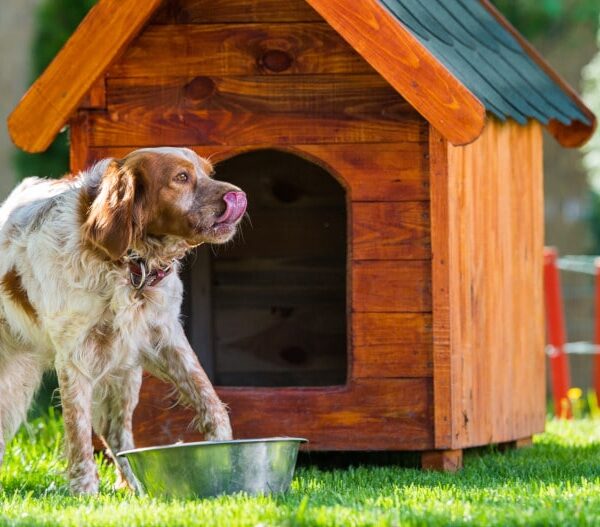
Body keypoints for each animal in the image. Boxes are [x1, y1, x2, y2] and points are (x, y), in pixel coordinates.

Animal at [0, 147, 246, 496]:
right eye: (181, 177)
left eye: (209, 173)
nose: (240, 195)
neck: (131, 265)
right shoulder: (75, 358)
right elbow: (79, 435)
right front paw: (84, 494)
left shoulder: (165, 337)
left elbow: (208, 398)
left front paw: (224, 450)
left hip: (125, 378)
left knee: (118, 437)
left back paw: (138, 489)